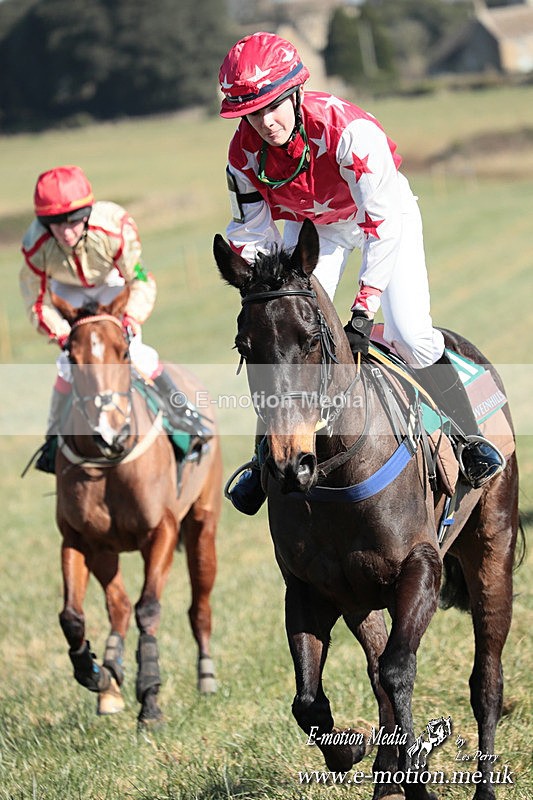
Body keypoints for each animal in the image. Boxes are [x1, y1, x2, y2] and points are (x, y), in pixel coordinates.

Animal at [50, 288, 222, 724]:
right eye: (72, 355)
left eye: (123, 350)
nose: (110, 433)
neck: (110, 465)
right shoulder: (78, 539)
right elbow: (72, 616)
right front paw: (94, 672)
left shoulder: (161, 532)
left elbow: (150, 608)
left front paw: (151, 698)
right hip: (105, 551)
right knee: (119, 606)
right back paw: (110, 677)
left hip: (202, 527)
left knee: (199, 606)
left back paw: (206, 674)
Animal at [214, 219, 520, 800]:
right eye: (244, 345)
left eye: (311, 340)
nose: (289, 466)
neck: (336, 472)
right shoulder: (310, 589)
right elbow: (310, 701)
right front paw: (351, 751)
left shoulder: (420, 567)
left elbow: (399, 671)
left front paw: (415, 777)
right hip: (361, 600)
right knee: (376, 674)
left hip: (492, 547)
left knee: (485, 678)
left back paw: (483, 785)